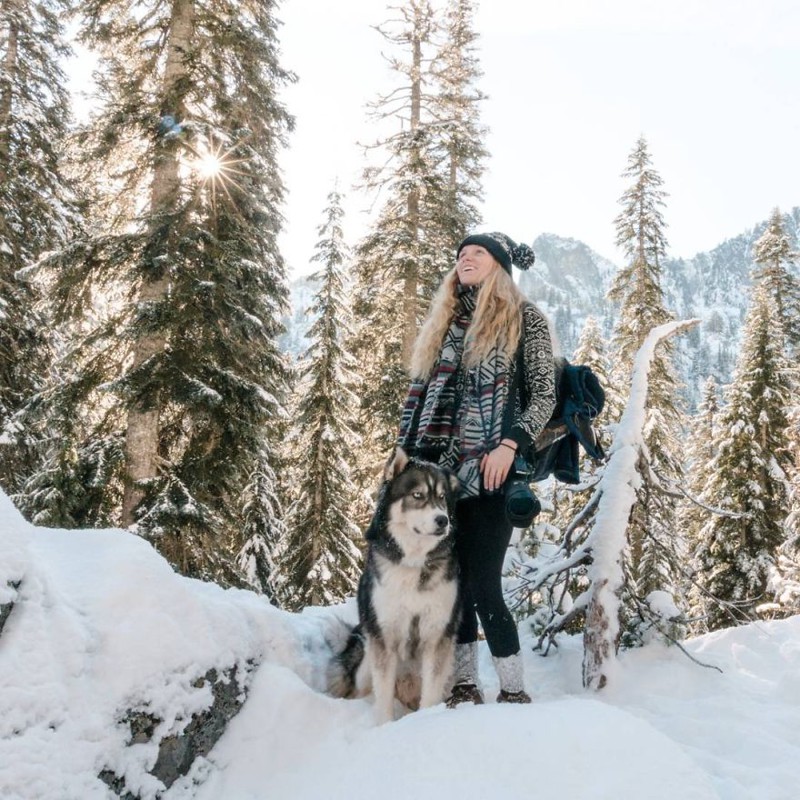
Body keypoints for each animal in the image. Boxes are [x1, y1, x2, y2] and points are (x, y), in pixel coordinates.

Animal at [328, 450, 460, 724]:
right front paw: (385, 727)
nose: (442, 521)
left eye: (442, 498)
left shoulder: (437, 635)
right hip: (365, 663)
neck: (413, 564)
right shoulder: (384, 636)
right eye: (418, 495)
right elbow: (383, 694)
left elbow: (431, 691)